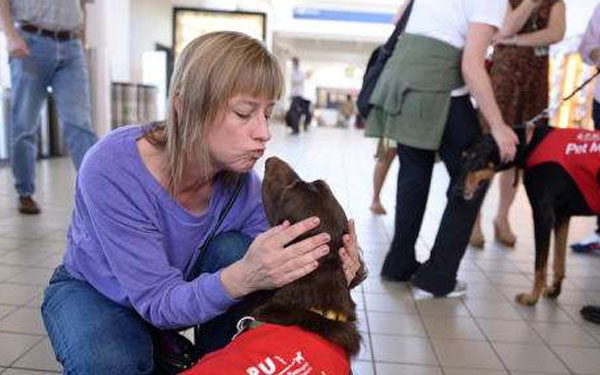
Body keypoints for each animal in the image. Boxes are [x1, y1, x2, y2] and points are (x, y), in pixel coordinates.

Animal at [462, 125, 596, 306]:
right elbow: (558, 260)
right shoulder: (562, 215)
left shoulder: (542, 215)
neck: (530, 143)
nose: (458, 189)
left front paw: (532, 298)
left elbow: (540, 265)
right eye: (464, 157)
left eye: (476, 157)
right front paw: (554, 290)